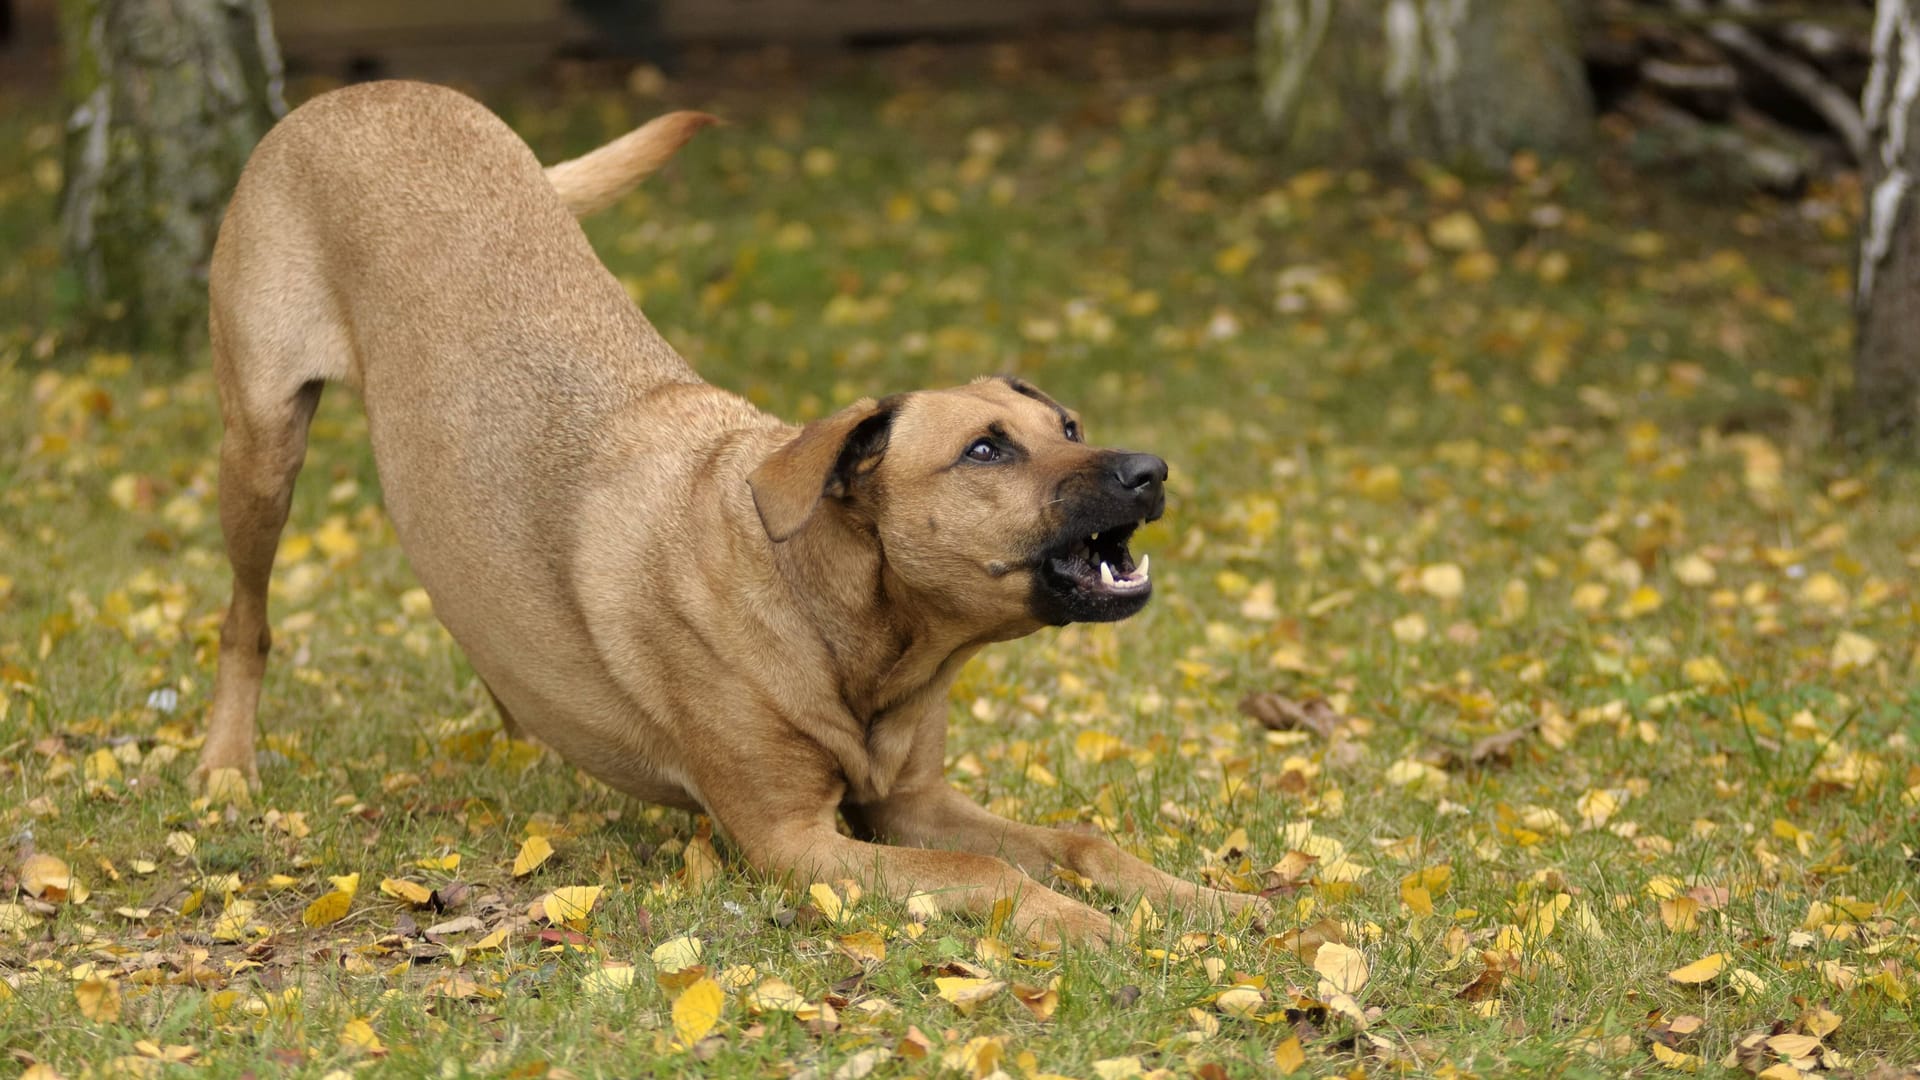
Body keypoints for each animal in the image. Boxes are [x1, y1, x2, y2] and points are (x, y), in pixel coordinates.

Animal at [194, 82, 1267, 941]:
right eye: (986, 450)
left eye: (1069, 423)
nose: (1149, 472)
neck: (837, 617)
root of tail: (370, 90)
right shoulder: (793, 841)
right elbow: (982, 870)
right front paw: (1087, 928)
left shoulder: (911, 803)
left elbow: (1081, 840)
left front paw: (1206, 901)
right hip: (259, 451)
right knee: (244, 620)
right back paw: (226, 768)